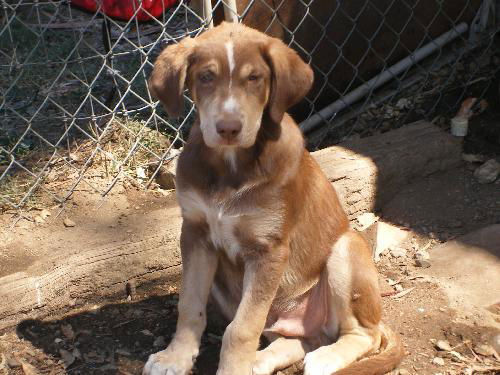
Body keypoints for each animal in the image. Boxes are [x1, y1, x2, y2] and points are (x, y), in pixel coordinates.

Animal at [143, 22, 404, 375]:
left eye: (255, 78)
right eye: (206, 77)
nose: (228, 128)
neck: (231, 166)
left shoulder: (268, 250)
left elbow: (241, 328)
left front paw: (230, 370)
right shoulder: (196, 233)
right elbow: (190, 305)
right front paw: (175, 358)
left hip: (346, 250)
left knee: (365, 334)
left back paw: (326, 358)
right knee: (296, 341)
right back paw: (259, 362)